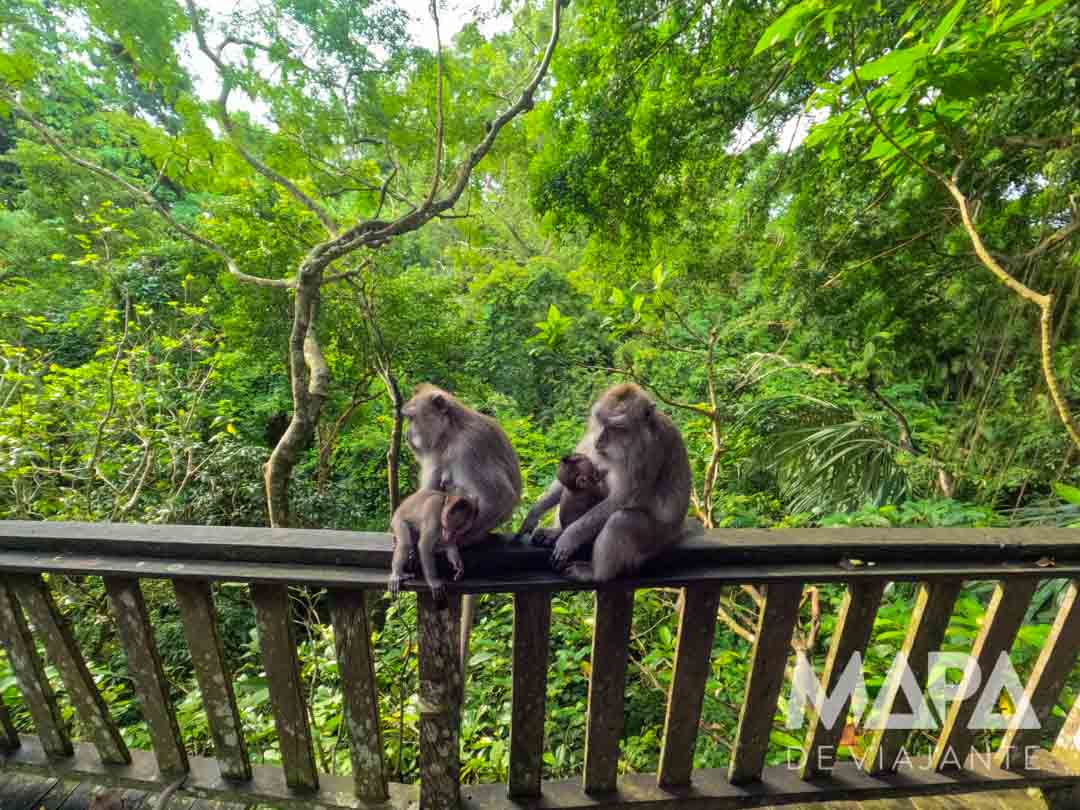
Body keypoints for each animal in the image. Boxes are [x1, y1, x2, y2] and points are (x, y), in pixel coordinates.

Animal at [401, 384, 522, 660]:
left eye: (411, 418)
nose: (407, 434)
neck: (450, 433)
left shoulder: (467, 448)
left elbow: (501, 496)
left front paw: (453, 544)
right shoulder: (436, 453)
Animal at [515, 383, 691, 582]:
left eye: (616, 427)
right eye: (600, 421)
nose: (599, 440)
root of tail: (679, 529)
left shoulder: (647, 453)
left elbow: (620, 498)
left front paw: (570, 536)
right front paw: (534, 513)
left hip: (659, 537)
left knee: (621, 520)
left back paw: (596, 573)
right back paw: (556, 532)